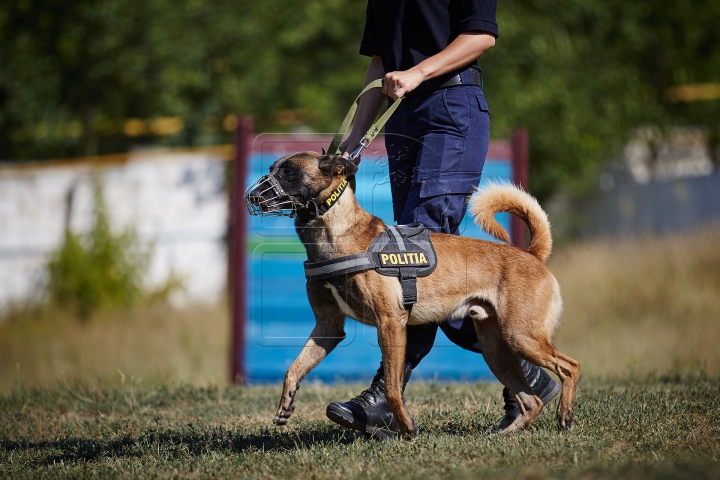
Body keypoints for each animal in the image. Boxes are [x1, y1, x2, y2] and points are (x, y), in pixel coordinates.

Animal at [245, 153, 584, 438]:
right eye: (273, 167)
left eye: (288, 171)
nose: (251, 196)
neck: (336, 233)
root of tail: (531, 255)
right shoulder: (328, 328)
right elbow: (293, 368)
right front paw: (285, 405)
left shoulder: (391, 323)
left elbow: (393, 387)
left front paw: (407, 427)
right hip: (496, 348)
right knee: (532, 399)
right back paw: (507, 433)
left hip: (519, 335)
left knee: (570, 366)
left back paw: (564, 415)